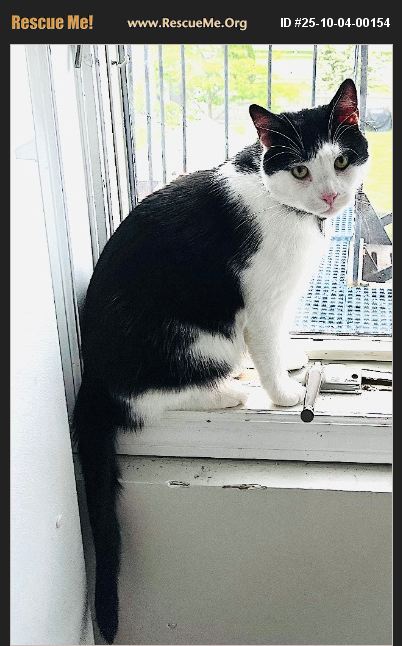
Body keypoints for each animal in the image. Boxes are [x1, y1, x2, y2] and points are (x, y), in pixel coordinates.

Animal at [73, 78, 368, 643]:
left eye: (341, 160)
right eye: (301, 170)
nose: (330, 196)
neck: (284, 206)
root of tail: (92, 374)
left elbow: (281, 336)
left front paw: (294, 356)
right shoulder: (261, 296)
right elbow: (266, 341)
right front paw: (285, 392)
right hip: (198, 338)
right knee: (147, 400)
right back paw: (228, 391)